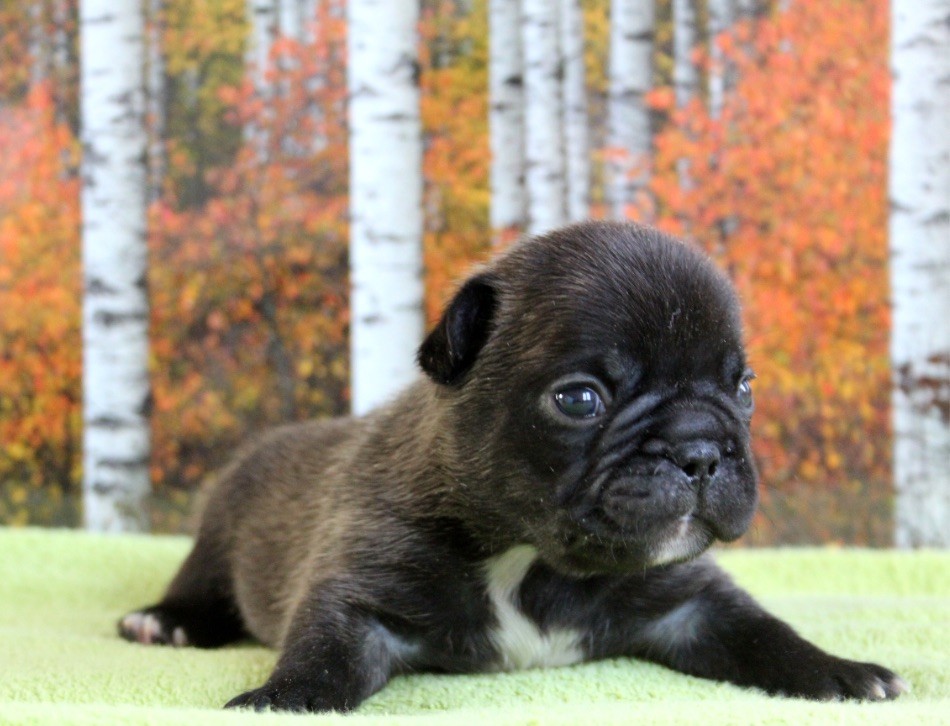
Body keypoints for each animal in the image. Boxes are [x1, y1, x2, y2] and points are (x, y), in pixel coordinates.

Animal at [119, 221, 906, 711]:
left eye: (743, 388)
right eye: (580, 399)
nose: (701, 450)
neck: (530, 559)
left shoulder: (692, 602)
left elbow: (764, 633)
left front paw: (840, 672)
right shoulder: (363, 587)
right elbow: (324, 649)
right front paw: (284, 699)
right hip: (222, 528)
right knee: (199, 583)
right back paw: (164, 621)